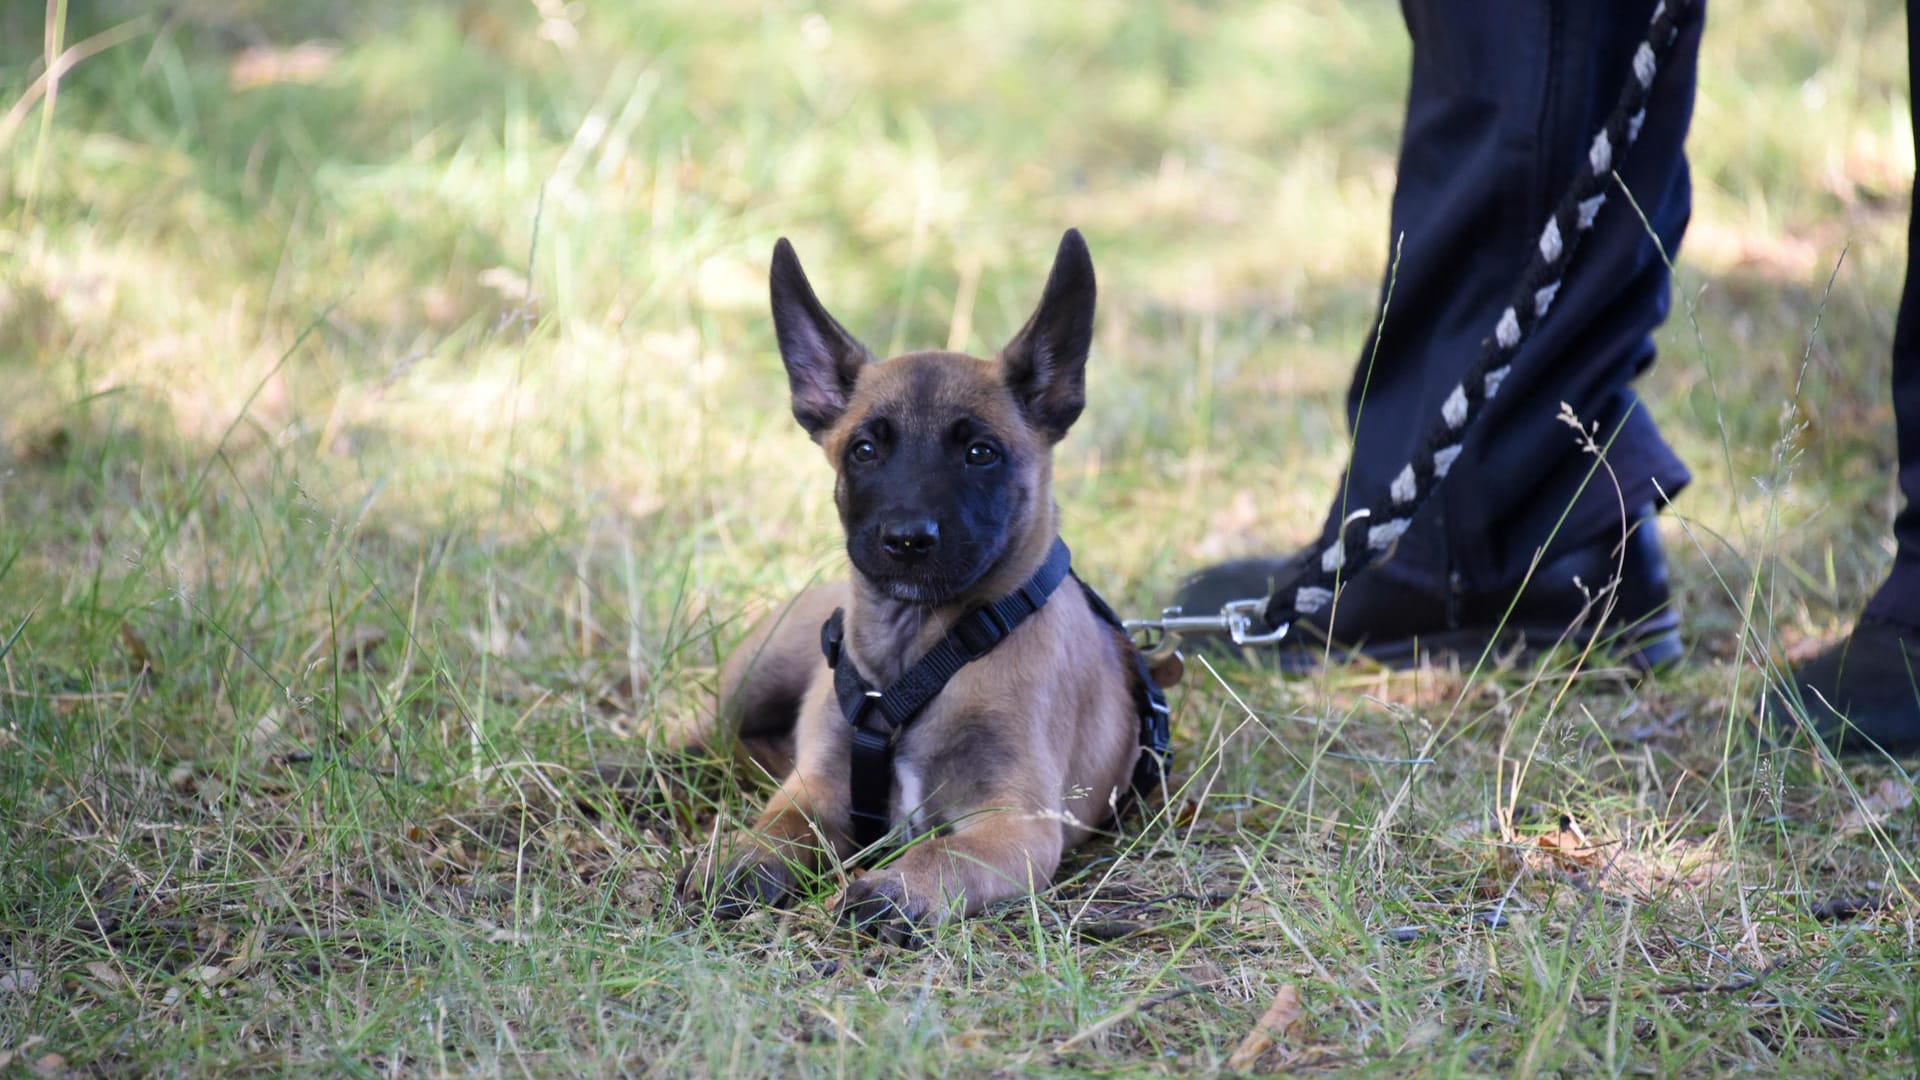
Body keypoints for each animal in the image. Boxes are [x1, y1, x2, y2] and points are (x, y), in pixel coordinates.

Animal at [675, 228, 1159, 941]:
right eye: (864, 450)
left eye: (981, 453)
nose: (906, 541)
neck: (922, 656)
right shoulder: (815, 788)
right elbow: (777, 826)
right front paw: (742, 859)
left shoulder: (1015, 826)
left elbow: (945, 853)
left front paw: (895, 889)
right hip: (750, 682)